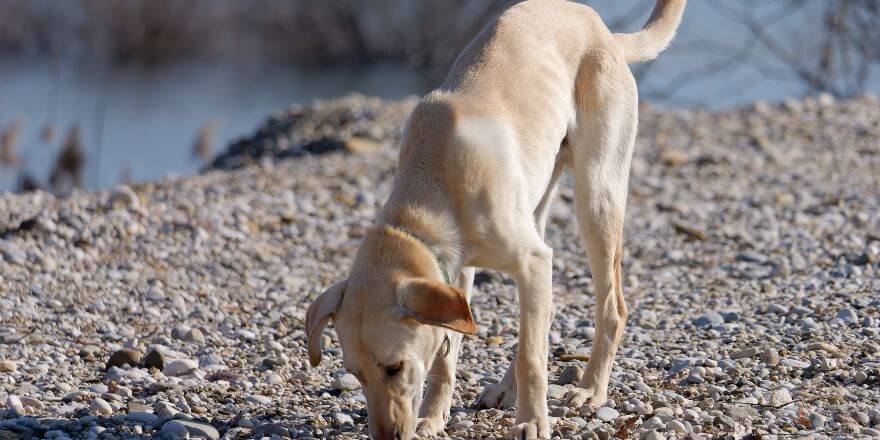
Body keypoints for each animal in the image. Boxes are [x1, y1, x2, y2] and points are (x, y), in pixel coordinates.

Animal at [306, 1, 684, 438]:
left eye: (394, 368)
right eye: (356, 374)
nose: (386, 437)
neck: (431, 188)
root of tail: (603, 30)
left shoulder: (531, 259)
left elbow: (533, 359)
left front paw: (532, 422)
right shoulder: (457, 274)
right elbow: (448, 355)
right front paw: (434, 417)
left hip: (597, 199)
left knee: (609, 309)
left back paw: (591, 390)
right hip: (539, 207)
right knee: (539, 320)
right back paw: (507, 390)